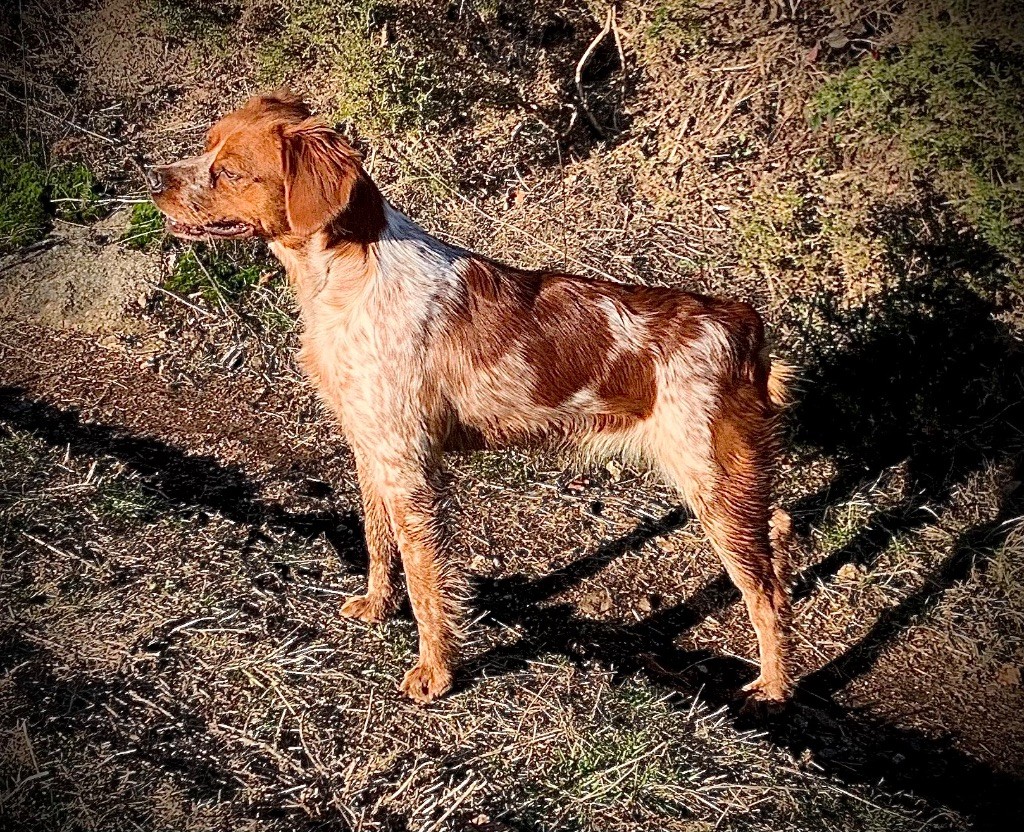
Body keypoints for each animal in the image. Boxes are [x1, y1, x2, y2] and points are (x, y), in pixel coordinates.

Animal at [148, 94, 794, 709]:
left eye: (230, 171)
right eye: (206, 146)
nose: (154, 178)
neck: (346, 277)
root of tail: (744, 324)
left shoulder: (411, 466)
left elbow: (425, 578)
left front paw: (435, 672)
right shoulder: (372, 446)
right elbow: (378, 539)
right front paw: (375, 606)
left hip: (713, 483)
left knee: (766, 590)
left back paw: (773, 688)